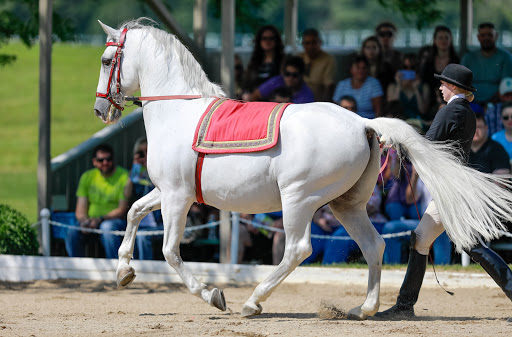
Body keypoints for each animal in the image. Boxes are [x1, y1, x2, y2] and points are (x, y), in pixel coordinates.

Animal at [94, 17, 512, 318]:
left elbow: (169, 251)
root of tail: (364, 124)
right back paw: (366, 308)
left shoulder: (178, 198)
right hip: (345, 205)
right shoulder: (167, 192)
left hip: (298, 200)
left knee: (298, 249)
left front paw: (212, 294)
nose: (100, 110)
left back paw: (254, 301)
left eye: (105, 60)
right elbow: (133, 212)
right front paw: (123, 271)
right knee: (374, 245)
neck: (178, 111)